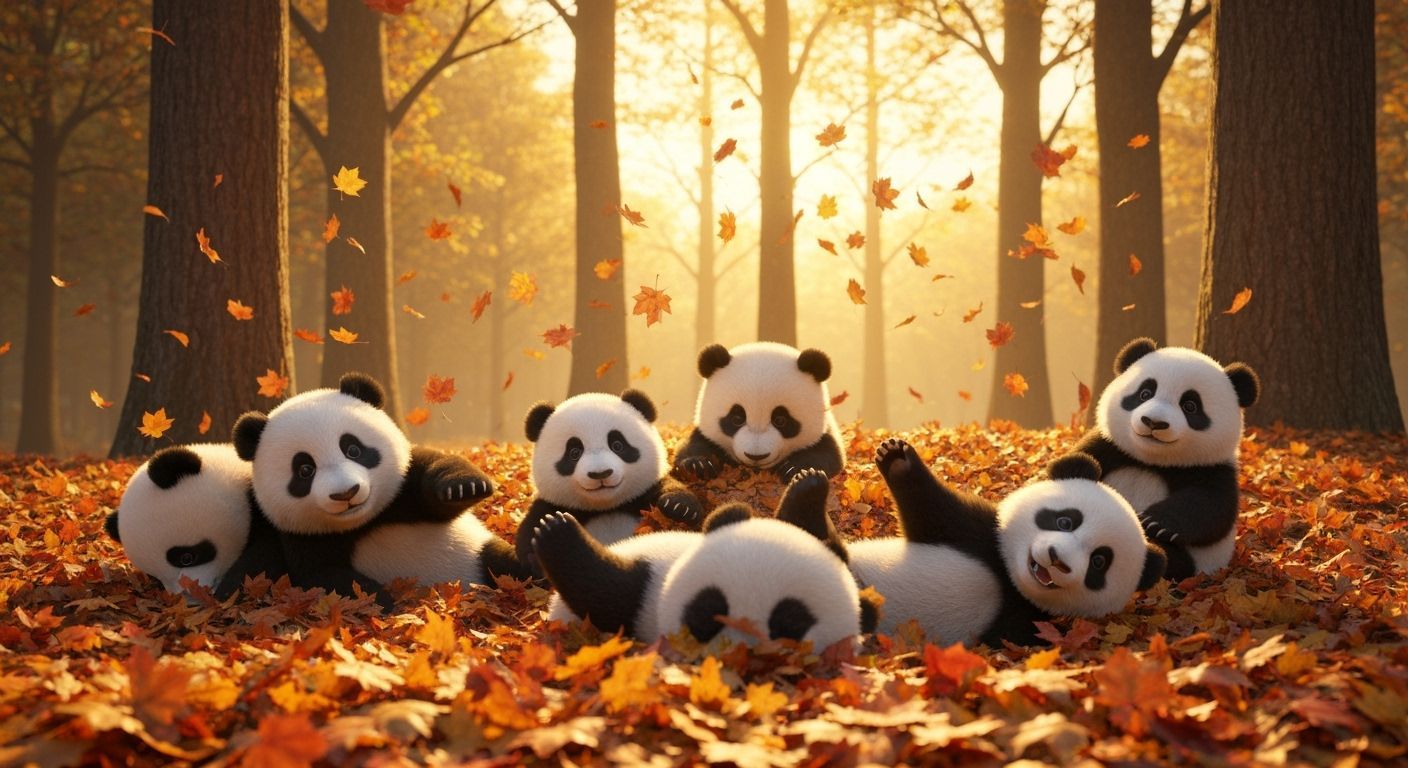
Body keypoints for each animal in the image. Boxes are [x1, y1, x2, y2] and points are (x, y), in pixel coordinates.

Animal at [232, 372, 526, 608]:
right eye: (305, 470)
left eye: (353, 449)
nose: (346, 493)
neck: (364, 522)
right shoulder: (303, 536)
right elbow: (326, 575)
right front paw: (384, 601)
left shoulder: (403, 487)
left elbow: (435, 484)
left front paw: (465, 487)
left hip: (479, 554)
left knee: (507, 564)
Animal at [517, 389, 703, 575]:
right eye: (574, 452)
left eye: (617, 445)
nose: (600, 473)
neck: (606, 507)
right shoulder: (552, 504)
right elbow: (528, 535)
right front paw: (543, 551)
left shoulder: (643, 494)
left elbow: (670, 490)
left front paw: (680, 507)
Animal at [672, 342, 845, 482]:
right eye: (736, 418)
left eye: (780, 420)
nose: (756, 456)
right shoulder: (704, 433)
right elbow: (693, 446)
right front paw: (698, 465)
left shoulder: (824, 432)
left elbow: (828, 454)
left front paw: (796, 468)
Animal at [837, 439, 1166, 647]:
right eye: (1065, 521)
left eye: (1099, 562)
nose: (1056, 559)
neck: (1009, 582)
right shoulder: (981, 535)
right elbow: (932, 512)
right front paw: (898, 460)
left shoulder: (1024, 623)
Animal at [1071, 338, 1260, 580]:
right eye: (1145, 393)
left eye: (1190, 406)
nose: (1154, 422)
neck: (1151, 460)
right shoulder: (1109, 446)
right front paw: (1078, 470)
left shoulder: (1212, 468)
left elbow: (1212, 508)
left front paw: (1156, 523)